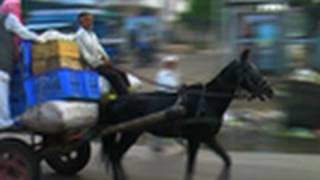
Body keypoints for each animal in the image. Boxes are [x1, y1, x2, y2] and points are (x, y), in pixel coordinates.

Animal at [97, 50, 272, 180]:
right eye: (250, 70)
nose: (270, 91)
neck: (208, 100)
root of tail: (118, 98)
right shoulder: (194, 139)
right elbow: (190, 170)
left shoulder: (208, 138)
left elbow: (227, 160)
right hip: (130, 132)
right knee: (115, 156)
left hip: (128, 132)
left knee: (115, 156)